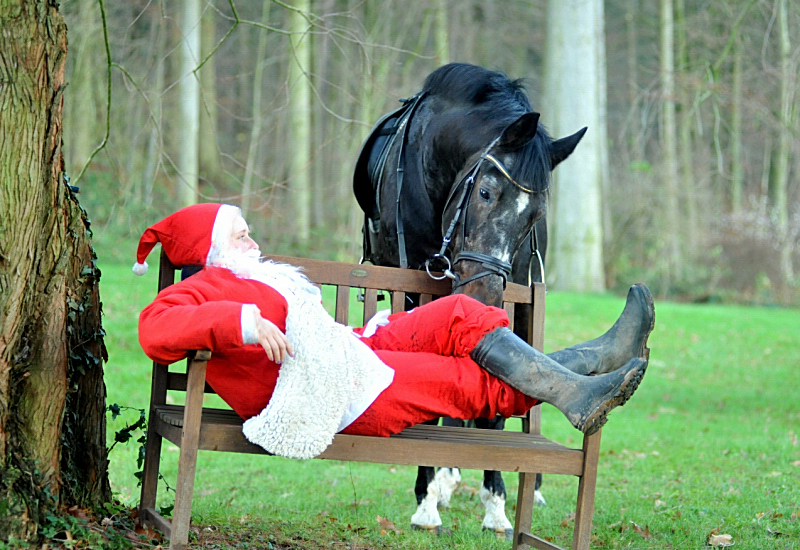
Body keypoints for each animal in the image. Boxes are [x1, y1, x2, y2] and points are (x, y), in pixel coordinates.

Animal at [354, 63, 584, 540]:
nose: (481, 294)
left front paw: (496, 505)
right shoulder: (413, 291)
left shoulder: (516, 299)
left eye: (535, 216)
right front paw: (426, 501)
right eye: (485, 193)